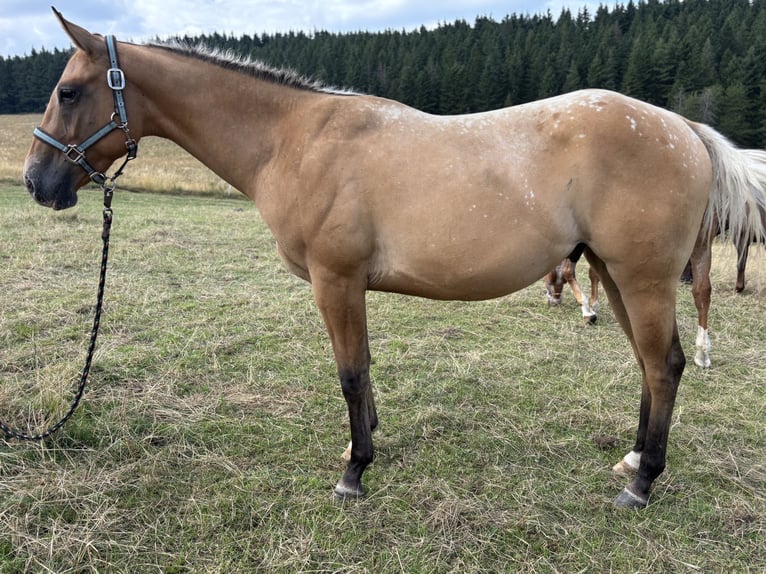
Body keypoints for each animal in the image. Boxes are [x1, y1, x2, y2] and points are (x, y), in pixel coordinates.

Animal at [23, 10, 766, 508]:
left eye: (67, 92)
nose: (36, 182)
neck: (293, 138)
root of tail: (682, 127)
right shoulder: (346, 285)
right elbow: (364, 371)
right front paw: (364, 445)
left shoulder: (336, 280)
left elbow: (350, 374)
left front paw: (355, 471)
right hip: (615, 274)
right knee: (648, 365)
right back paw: (632, 459)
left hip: (642, 278)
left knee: (664, 366)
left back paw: (643, 481)